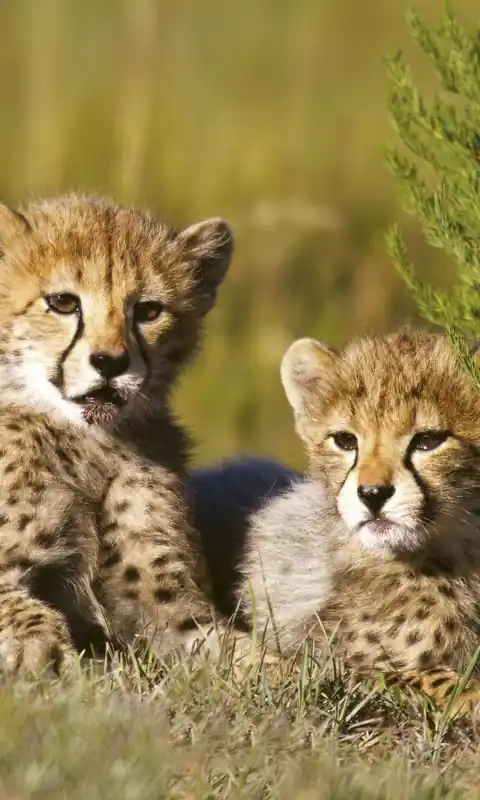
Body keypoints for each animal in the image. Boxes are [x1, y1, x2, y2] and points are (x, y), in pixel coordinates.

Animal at [0, 192, 233, 676]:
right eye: (63, 302)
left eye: (148, 311)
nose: (111, 362)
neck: (86, 443)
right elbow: (22, 608)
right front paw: (43, 652)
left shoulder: (162, 602)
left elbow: (238, 652)